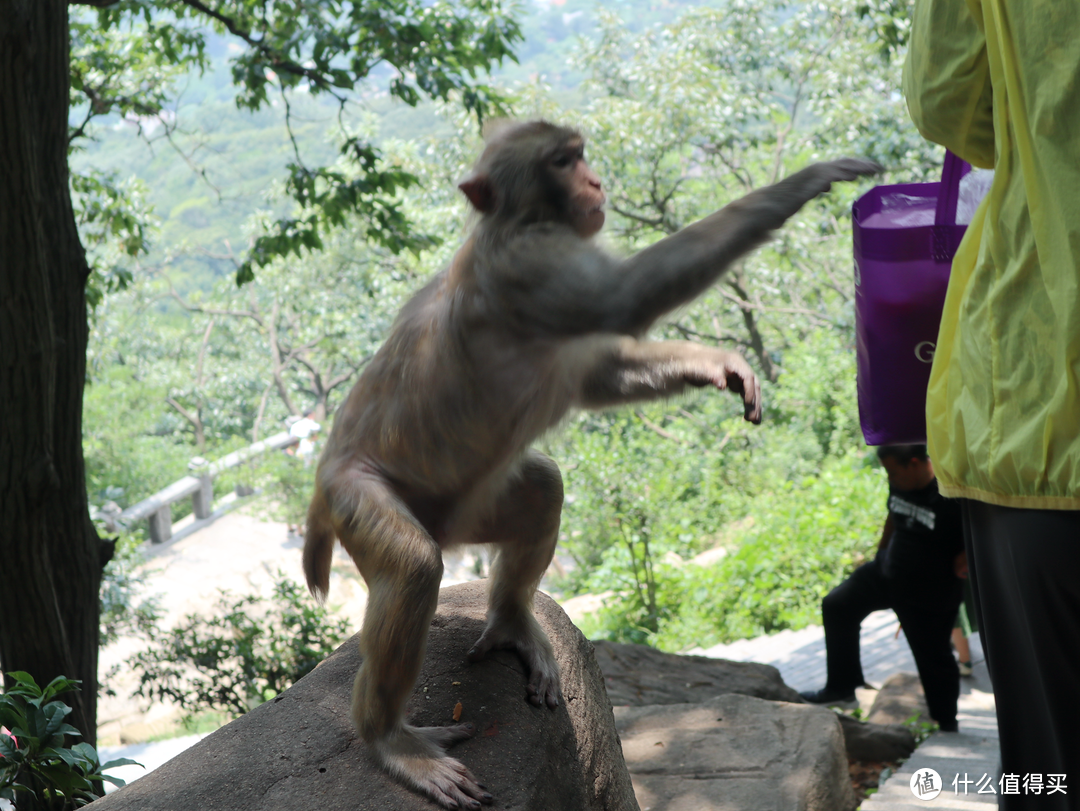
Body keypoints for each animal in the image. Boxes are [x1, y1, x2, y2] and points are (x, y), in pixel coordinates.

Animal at [308, 117, 881, 807]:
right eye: (562, 161)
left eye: (579, 154)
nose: (596, 181)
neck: (517, 224)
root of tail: (320, 486)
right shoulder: (530, 267)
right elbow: (625, 299)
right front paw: (810, 179)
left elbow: (597, 374)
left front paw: (714, 365)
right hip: (355, 498)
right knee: (415, 566)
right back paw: (389, 739)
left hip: (466, 506)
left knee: (540, 488)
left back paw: (511, 622)